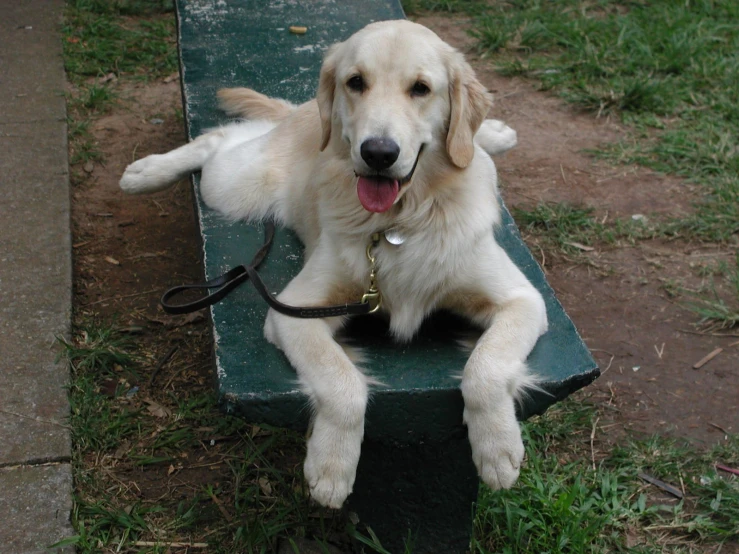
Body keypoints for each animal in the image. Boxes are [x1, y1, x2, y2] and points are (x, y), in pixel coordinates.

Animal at [121, 19, 548, 506]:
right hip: (234, 184)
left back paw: (491, 132)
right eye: (356, 82)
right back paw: (147, 172)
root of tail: (303, 113)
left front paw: (498, 448)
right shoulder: (294, 310)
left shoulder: (523, 300)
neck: (401, 220)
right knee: (217, 139)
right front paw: (330, 467)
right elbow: (342, 383)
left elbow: (486, 369)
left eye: (421, 88)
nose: (378, 152)